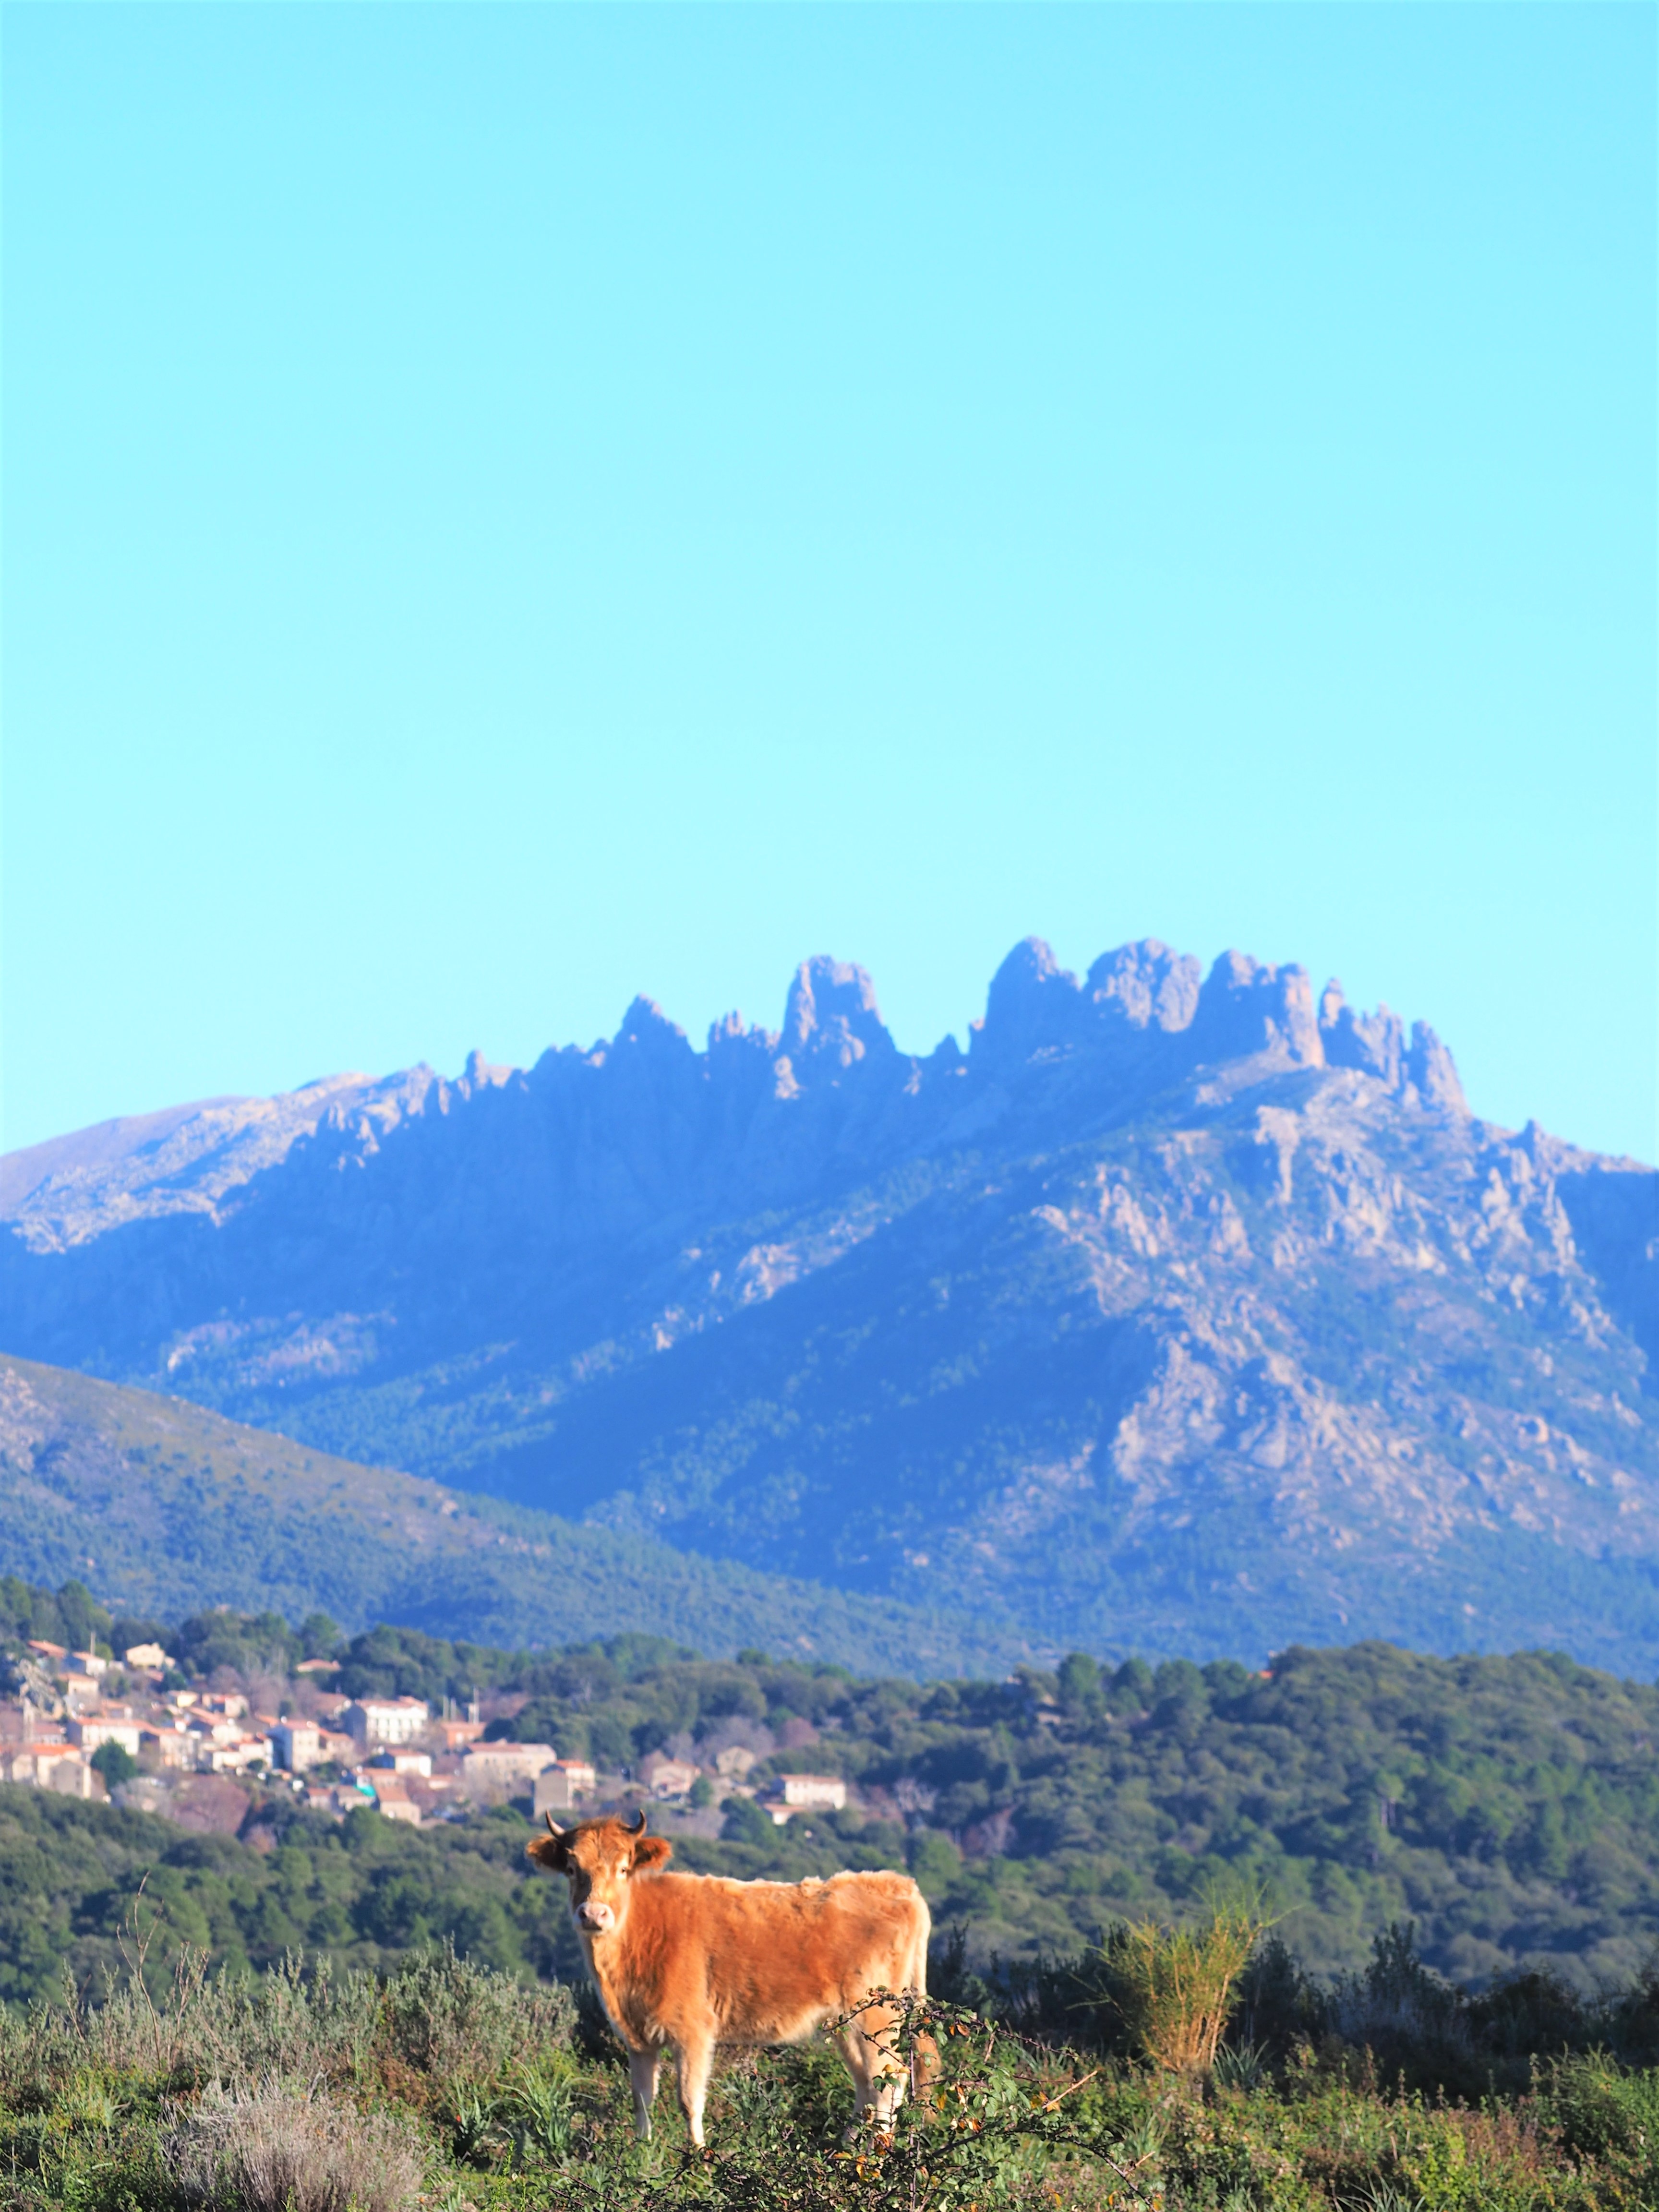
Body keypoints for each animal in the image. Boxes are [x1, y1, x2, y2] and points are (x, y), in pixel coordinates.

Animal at [526, 1805, 929, 2150]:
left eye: (624, 1868)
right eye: (572, 1868)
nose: (593, 1914)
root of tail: (901, 1885)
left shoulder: (693, 2031)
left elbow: (689, 2099)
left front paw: (698, 2161)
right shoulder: (637, 2037)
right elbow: (642, 2099)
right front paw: (642, 2154)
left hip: (874, 2016)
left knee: (887, 2082)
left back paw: (875, 2156)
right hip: (846, 2023)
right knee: (868, 2084)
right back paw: (845, 2151)